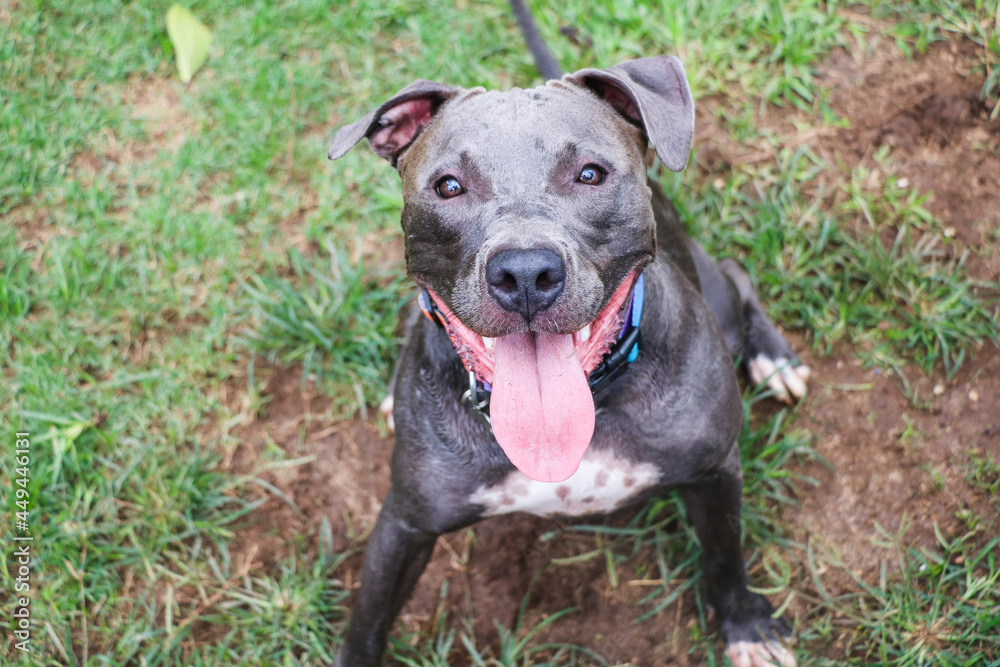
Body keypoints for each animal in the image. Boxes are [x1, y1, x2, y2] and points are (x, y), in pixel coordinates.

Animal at [324, 3, 808, 664]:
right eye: (448, 186)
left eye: (590, 174)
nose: (525, 272)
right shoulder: (405, 523)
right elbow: (368, 618)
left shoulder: (714, 472)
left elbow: (724, 557)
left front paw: (746, 626)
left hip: (723, 303)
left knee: (736, 273)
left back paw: (774, 358)